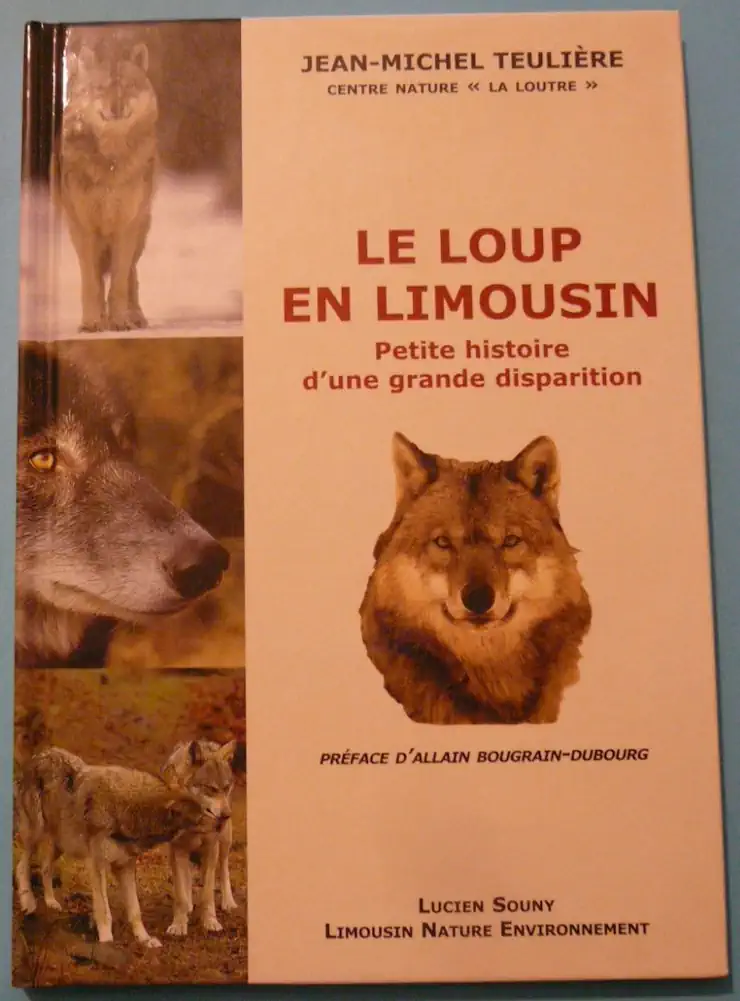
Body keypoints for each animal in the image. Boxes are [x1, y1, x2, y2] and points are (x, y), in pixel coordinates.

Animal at [14, 747, 213, 948]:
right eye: (201, 818)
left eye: (206, 810)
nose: (220, 821)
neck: (127, 810)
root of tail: (41, 754)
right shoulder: (97, 864)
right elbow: (103, 910)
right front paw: (106, 941)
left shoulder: (125, 866)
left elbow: (135, 910)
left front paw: (145, 939)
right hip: (36, 834)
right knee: (21, 866)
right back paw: (28, 903)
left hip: (61, 844)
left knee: (45, 868)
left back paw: (50, 902)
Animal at [58, 41, 158, 331]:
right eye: (101, 89)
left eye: (126, 86)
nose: (117, 107)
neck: (111, 163)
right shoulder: (83, 227)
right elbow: (91, 283)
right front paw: (92, 322)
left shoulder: (126, 225)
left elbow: (120, 283)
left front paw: (120, 321)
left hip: (140, 230)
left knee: (130, 275)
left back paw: (134, 316)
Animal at [161, 739, 241, 936]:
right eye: (211, 789)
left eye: (226, 788)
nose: (227, 815)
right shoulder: (178, 849)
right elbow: (180, 894)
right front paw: (179, 924)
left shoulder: (210, 851)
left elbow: (207, 895)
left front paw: (211, 922)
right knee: (186, 879)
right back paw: (189, 905)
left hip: (224, 844)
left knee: (224, 870)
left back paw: (228, 902)